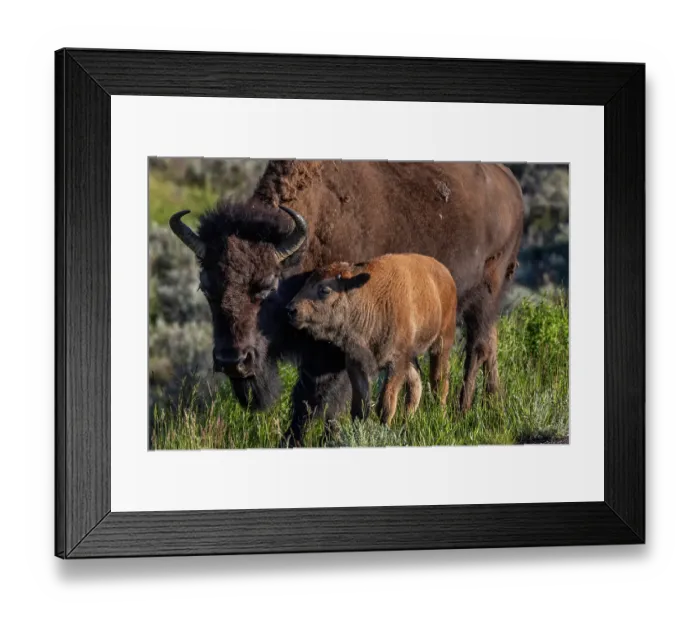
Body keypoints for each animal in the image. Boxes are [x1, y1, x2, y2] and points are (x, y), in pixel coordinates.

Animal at [286, 254, 457, 426]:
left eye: (325, 290)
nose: (291, 310)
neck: (368, 300)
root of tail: (445, 273)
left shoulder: (396, 363)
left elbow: (386, 404)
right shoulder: (356, 365)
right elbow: (359, 407)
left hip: (442, 342)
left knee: (439, 381)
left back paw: (441, 416)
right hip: (412, 356)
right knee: (416, 384)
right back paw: (406, 422)